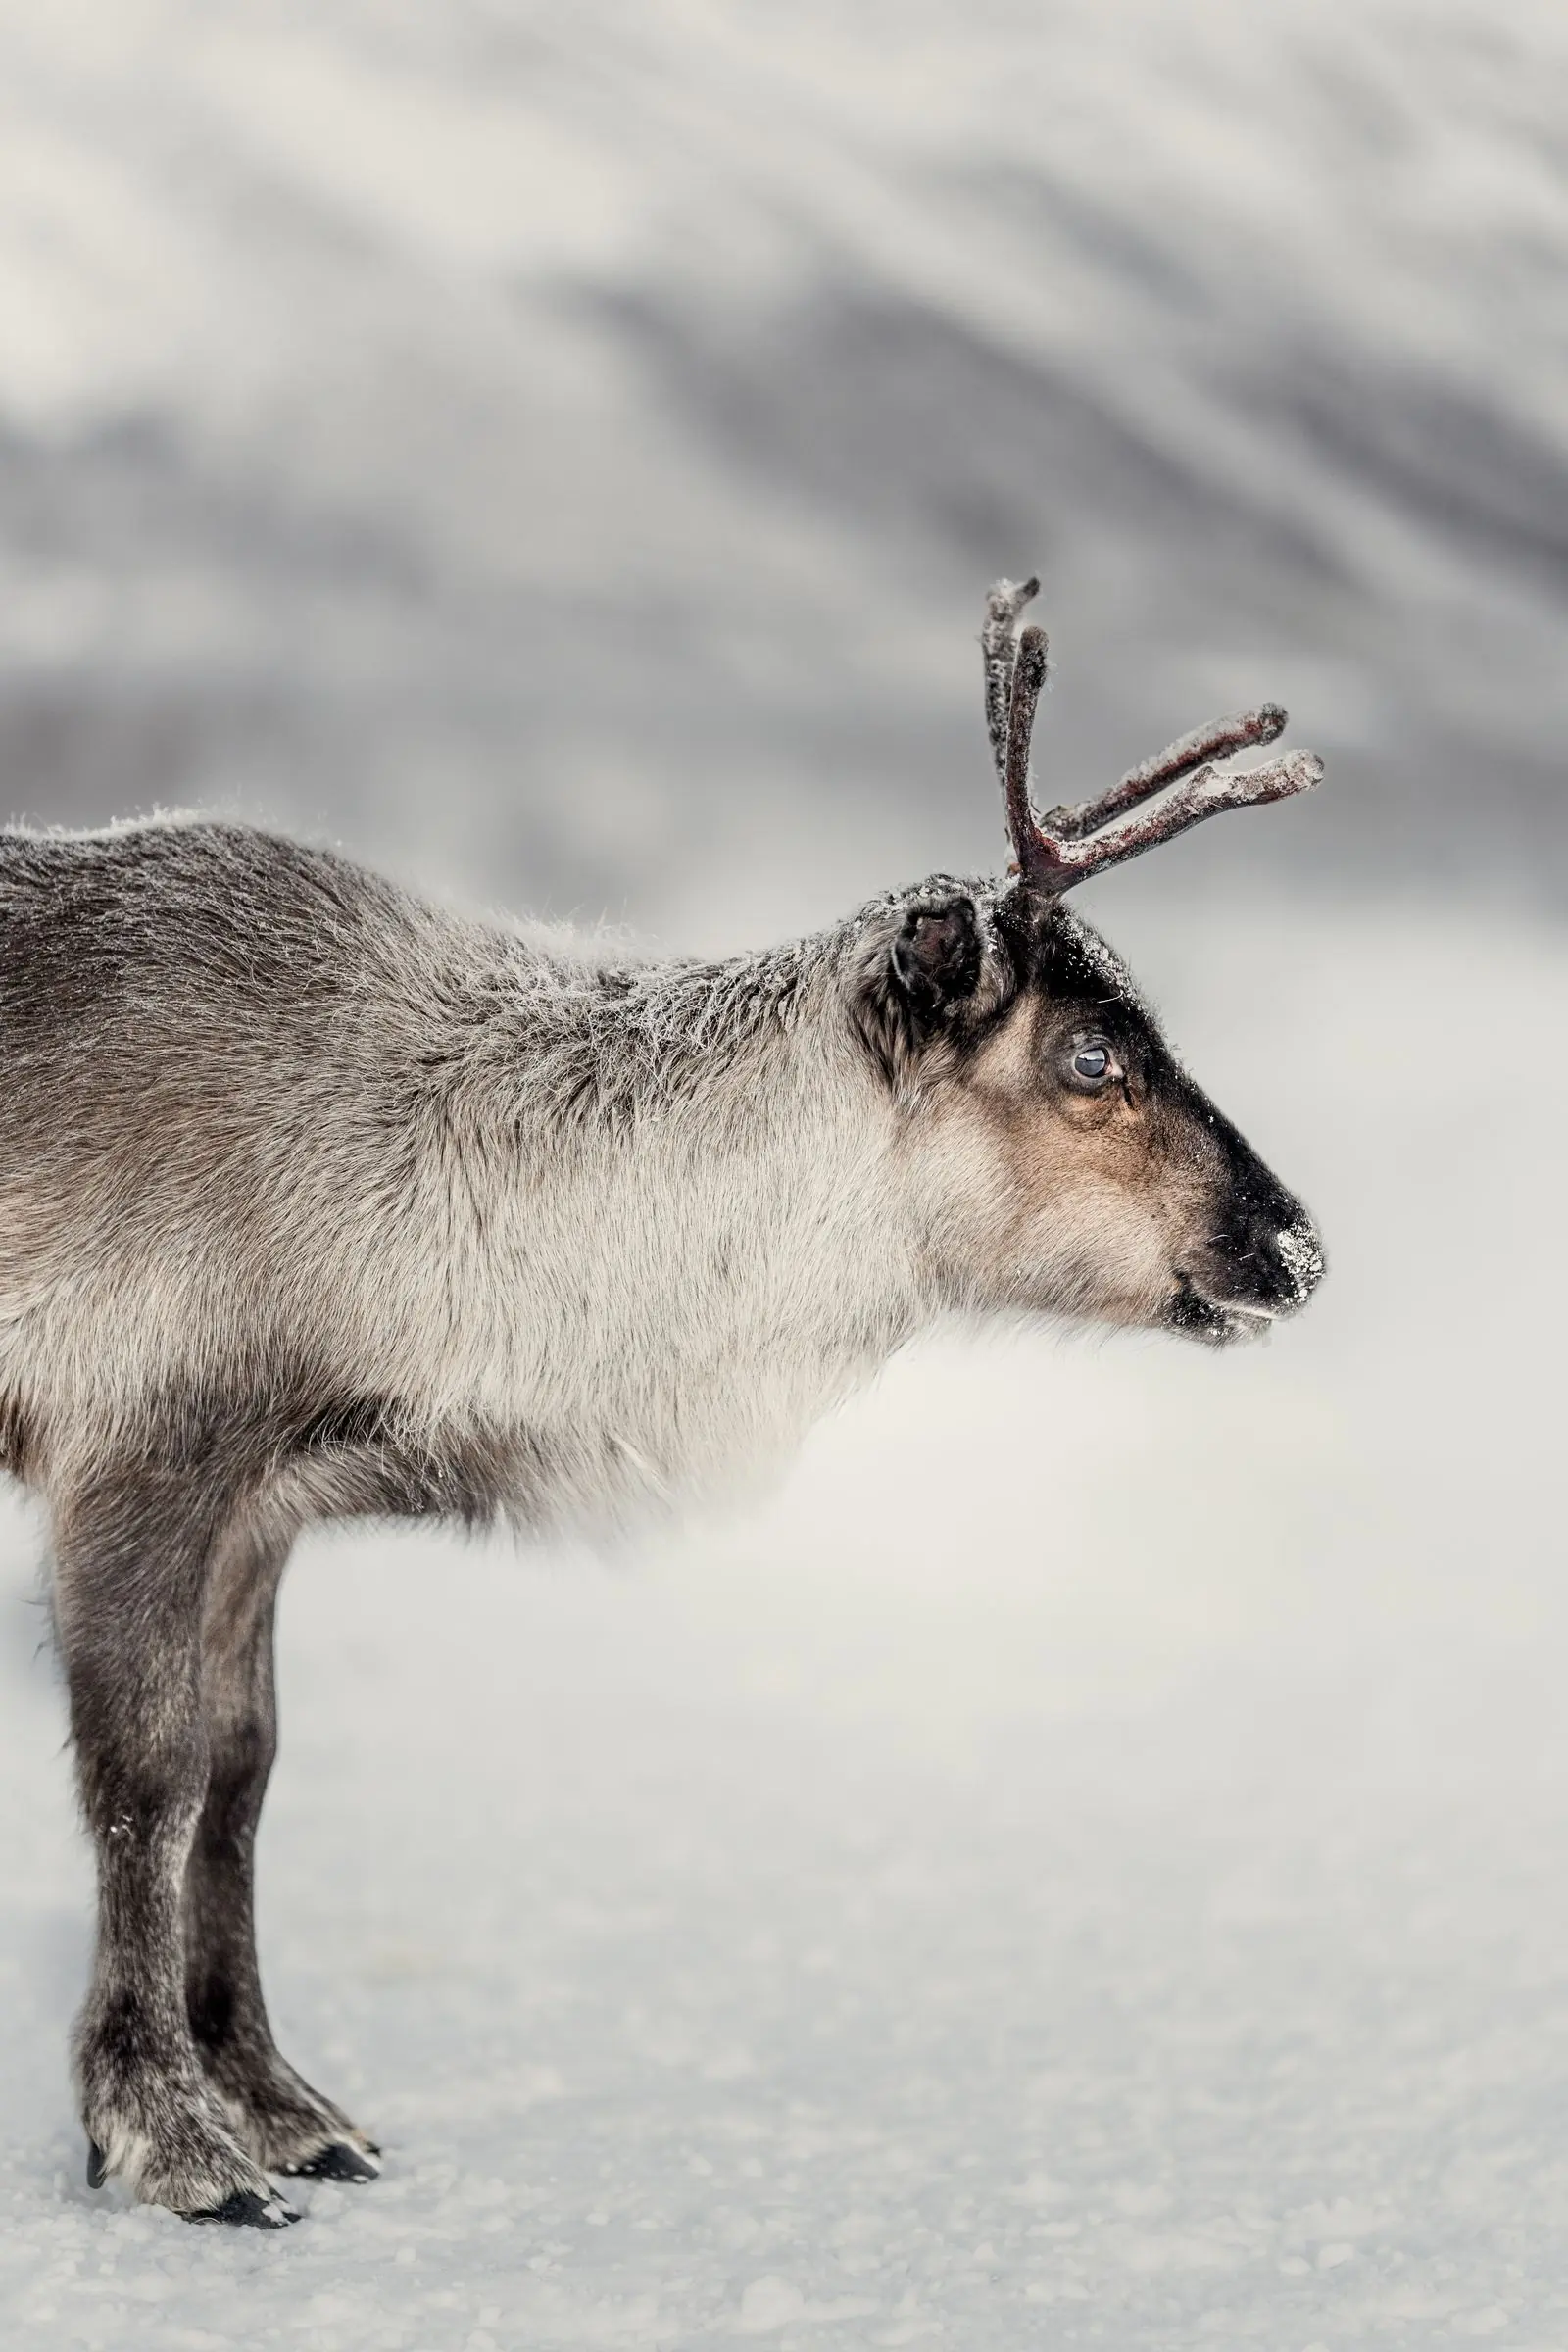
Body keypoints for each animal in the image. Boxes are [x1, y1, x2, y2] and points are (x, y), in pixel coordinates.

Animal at [0, 578, 1325, 2227]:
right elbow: (149, 1782)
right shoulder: (134, 1453)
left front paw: (284, 2106)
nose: (1297, 1248)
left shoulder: (265, 1501)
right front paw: (169, 2140)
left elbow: (241, 1775)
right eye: (1093, 1054)